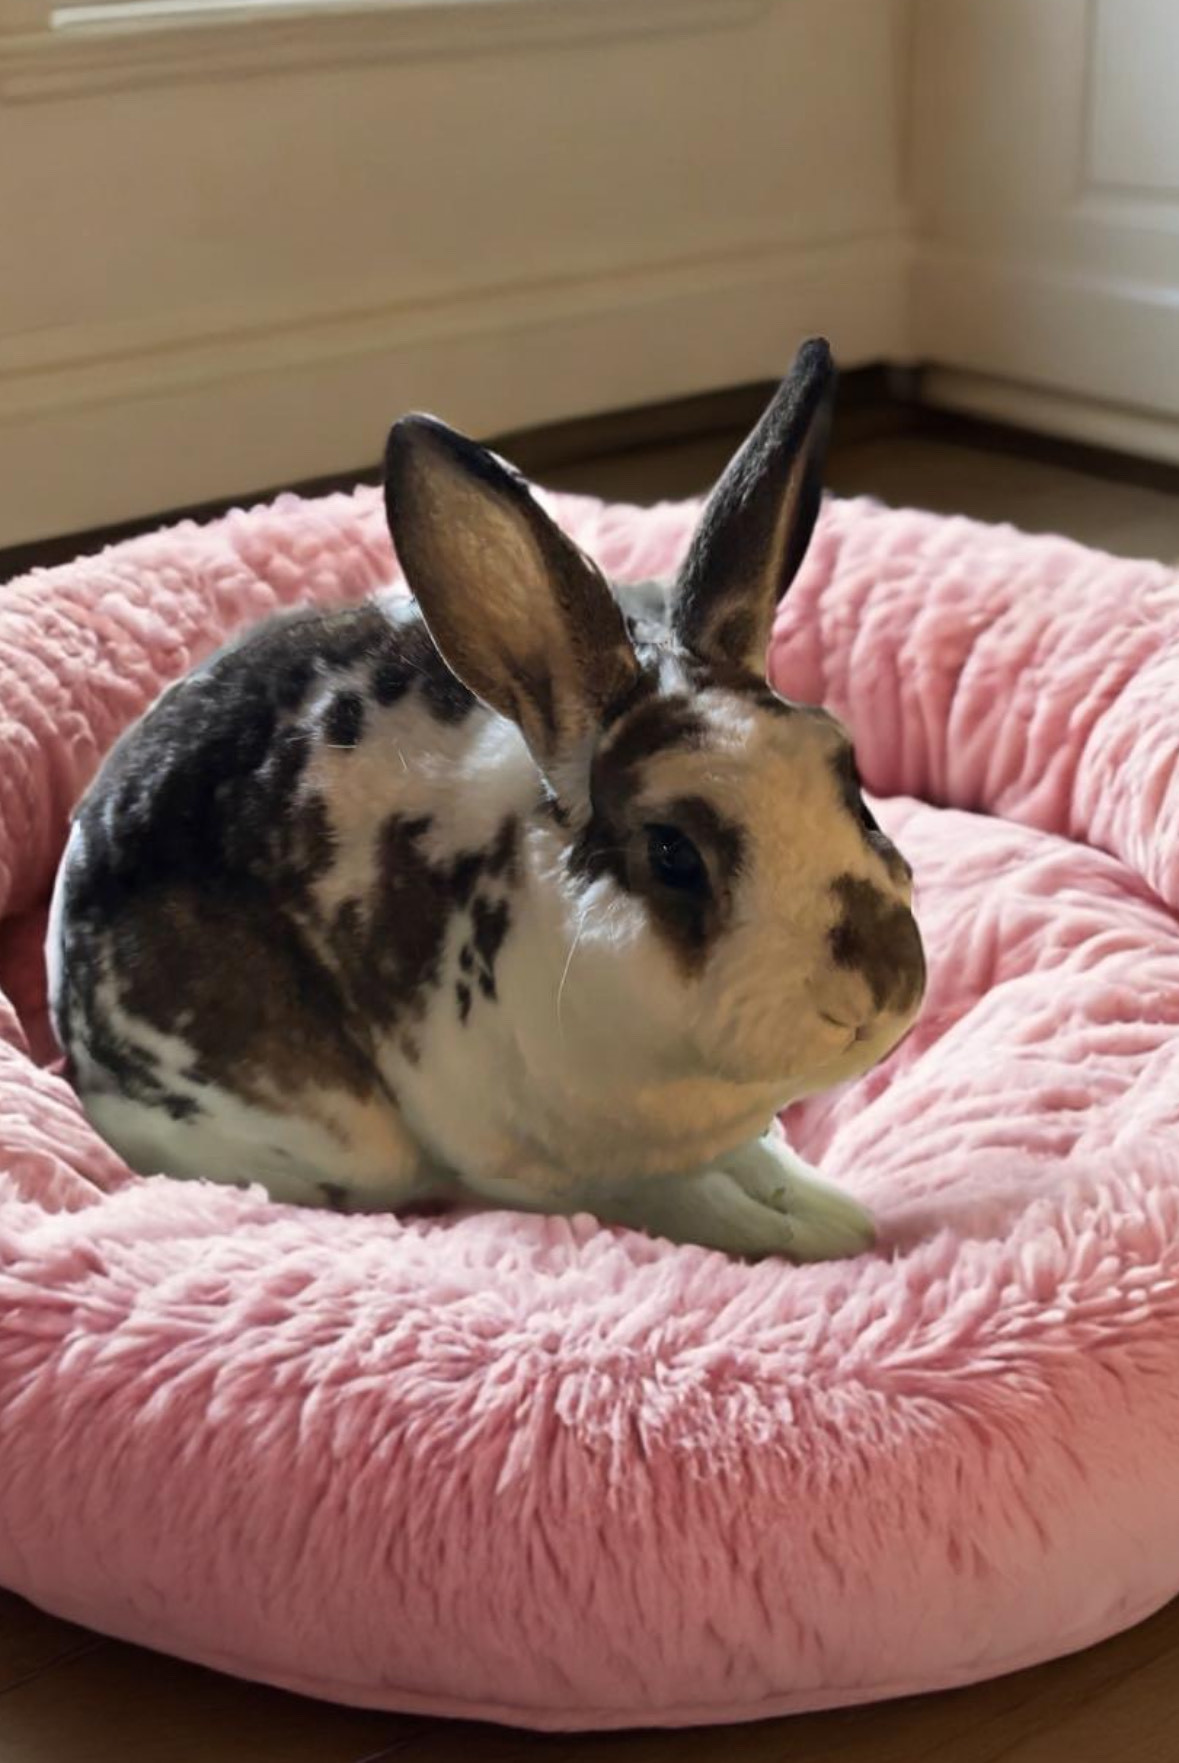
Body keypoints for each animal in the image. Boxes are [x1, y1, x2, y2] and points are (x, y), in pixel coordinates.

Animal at [46, 337, 925, 1261]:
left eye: (848, 775)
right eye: (672, 853)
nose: (882, 983)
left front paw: (828, 1204)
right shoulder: (576, 1176)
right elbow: (695, 1202)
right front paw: (825, 1231)